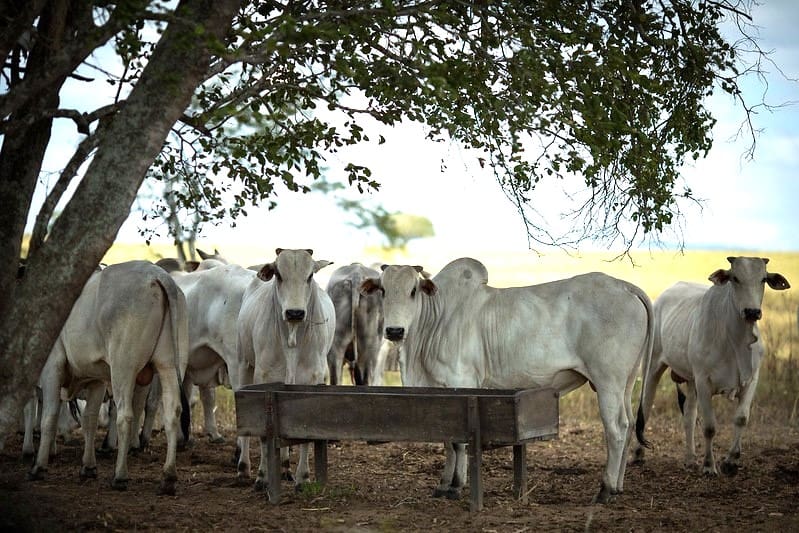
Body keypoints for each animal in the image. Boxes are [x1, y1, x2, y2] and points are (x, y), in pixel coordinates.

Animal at [27, 262, 191, 494]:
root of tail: (158, 275)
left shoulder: (52, 366)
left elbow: (49, 417)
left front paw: (39, 466)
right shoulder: (96, 379)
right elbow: (90, 420)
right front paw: (88, 466)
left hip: (123, 367)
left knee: (126, 416)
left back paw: (120, 475)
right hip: (170, 365)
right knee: (172, 412)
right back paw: (168, 477)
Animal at [238, 248, 338, 490]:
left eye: (310, 276)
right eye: (279, 275)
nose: (294, 313)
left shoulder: (311, 381)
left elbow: (305, 433)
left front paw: (303, 477)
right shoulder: (263, 380)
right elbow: (263, 434)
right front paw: (262, 477)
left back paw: (284, 468)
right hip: (242, 364)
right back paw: (243, 468)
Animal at [362, 258, 656, 502]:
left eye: (413, 290)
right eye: (383, 290)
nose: (395, 331)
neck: (436, 320)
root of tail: (625, 286)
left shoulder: (462, 382)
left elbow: (458, 441)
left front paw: (456, 486)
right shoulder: (440, 393)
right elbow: (447, 438)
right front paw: (444, 485)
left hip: (608, 382)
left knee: (616, 428)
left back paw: (605, 489)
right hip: (626, 382)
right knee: (630, 424)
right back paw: (618, 487)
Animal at [636, 256, 792, 474]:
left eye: (763, 279)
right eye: (735, 278)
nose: (752, 312)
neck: (736, 340)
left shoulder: (752, 379)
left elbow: (741, 418)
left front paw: (731, 461)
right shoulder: (703, 381)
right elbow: (709, 427)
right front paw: (709, 466)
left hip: (690, 379)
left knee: (689, 416)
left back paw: (690, 458)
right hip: (652, 367)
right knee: (646, 406)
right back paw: (637, 454)